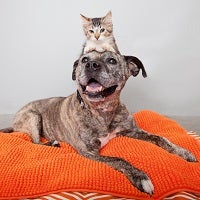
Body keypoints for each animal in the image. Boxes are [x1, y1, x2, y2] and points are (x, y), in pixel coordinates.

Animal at [0, 50, 197, 195]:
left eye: (111, 60)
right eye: (84, 60)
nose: (91, 65)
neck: (103, 111)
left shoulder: (132, 131)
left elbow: (161, 138)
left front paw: (183, 152)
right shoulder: (89, 151)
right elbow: (118, 159)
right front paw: (141, 177)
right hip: (33, 116)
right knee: (34, 142)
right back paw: (52, 143)